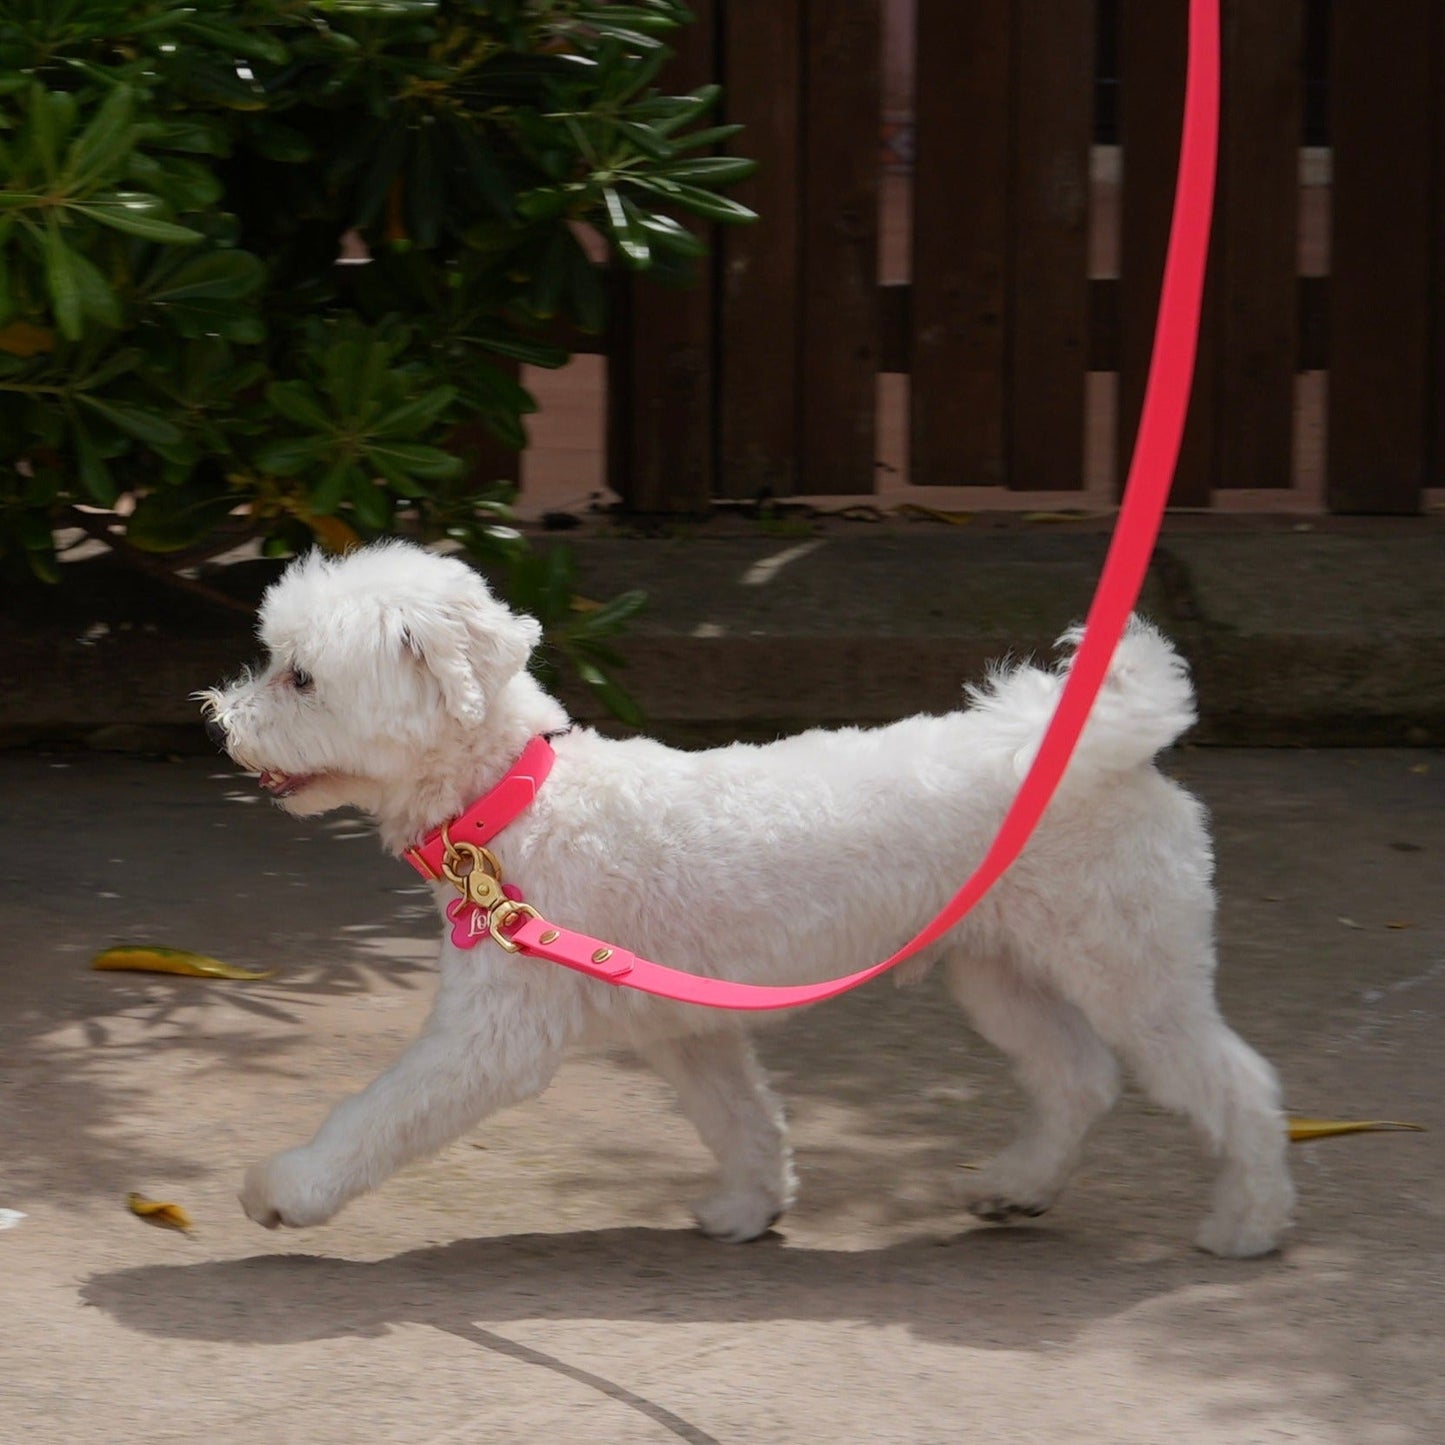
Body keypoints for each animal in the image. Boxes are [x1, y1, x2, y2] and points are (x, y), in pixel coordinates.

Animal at [200, 540, 1300, 1254]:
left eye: (300, 677)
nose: (217, 720)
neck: (512, 800)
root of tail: (1105, 747)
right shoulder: (685, 1023)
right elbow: (741, 1117)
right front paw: (751, 1204)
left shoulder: (495, 1033)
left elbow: (381, 1112)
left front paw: (289, 1188)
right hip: (999, 969)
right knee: (1075, 1077)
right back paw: (1017, 1186)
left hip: (1131, 969)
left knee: (1235, 1081)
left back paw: (1246, 1222)